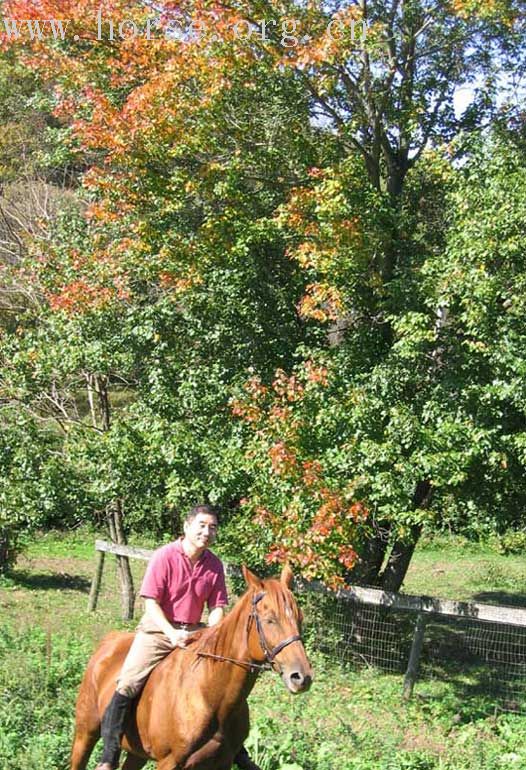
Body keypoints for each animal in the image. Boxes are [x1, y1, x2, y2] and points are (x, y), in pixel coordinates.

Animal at [68, 560, 312, 764]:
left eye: (299, 618)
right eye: (270, 620)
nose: (301, 677)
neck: (210, 695)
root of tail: (108, 641)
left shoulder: (221, 762)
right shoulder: (169, 762)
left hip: (137, 754)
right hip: (85, 734)